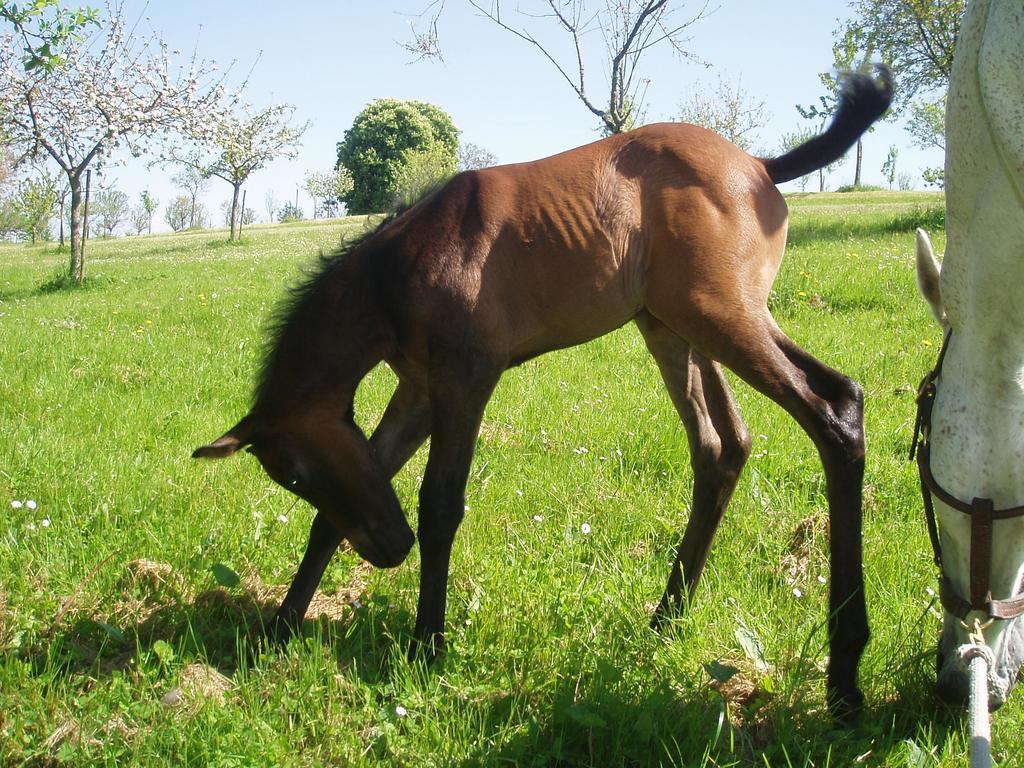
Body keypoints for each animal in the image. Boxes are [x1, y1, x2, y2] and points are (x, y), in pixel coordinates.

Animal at [195, 67, 892, 720]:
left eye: (296, 473)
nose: (390, 549)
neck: (396, 276)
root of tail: (758, 166)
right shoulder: (418, 390)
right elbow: (334, 516)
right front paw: (279, 627)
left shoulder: (466, 380)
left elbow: (439, 505)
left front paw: (427, 646)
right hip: (675, 328)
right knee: (723, 446)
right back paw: (668, 617)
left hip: (722, 317)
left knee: (834, 407)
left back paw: (844, 677)